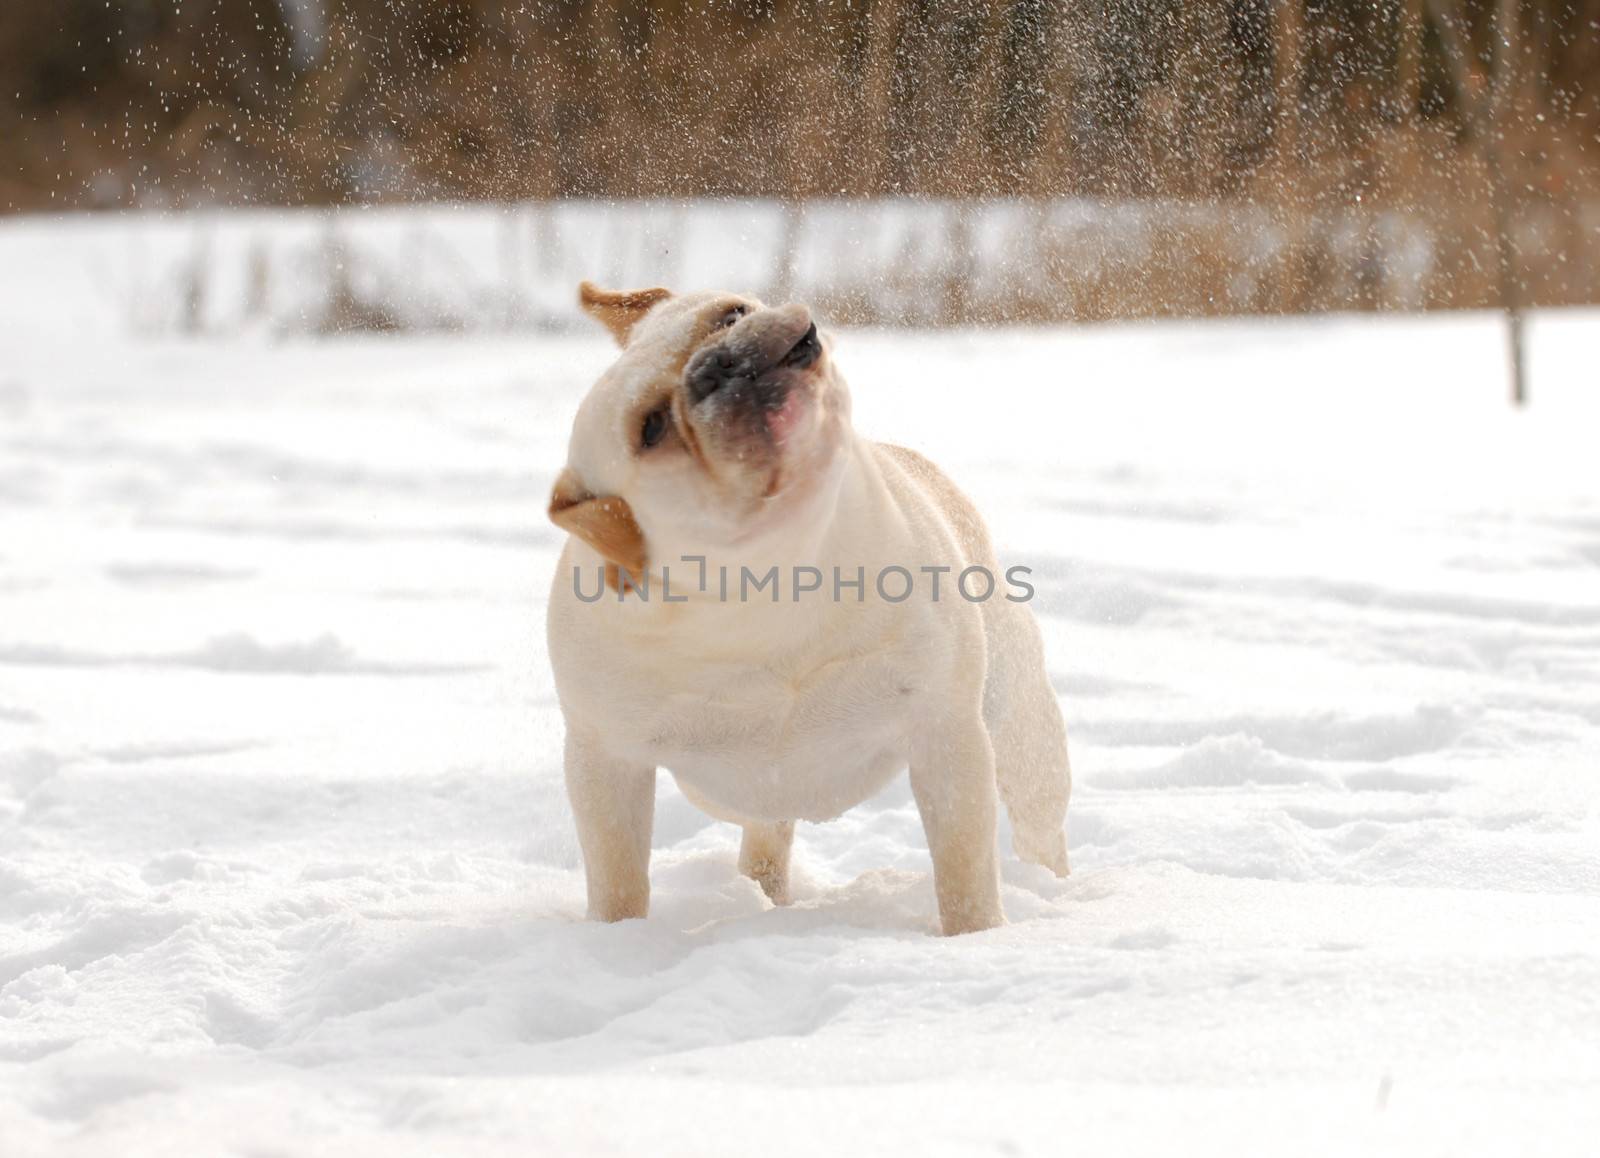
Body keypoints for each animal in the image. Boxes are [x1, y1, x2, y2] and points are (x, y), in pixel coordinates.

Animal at [544, 284, 1068, 934]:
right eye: (652, 427)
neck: (773, 572)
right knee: (765, 835)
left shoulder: (947, 733)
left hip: (1021, 731)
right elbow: (618, 879)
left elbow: (964, 869)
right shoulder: (606, 762)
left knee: (1039, 823)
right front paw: (618, 940)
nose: (720, 363)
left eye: (732, 314)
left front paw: (977, 938)